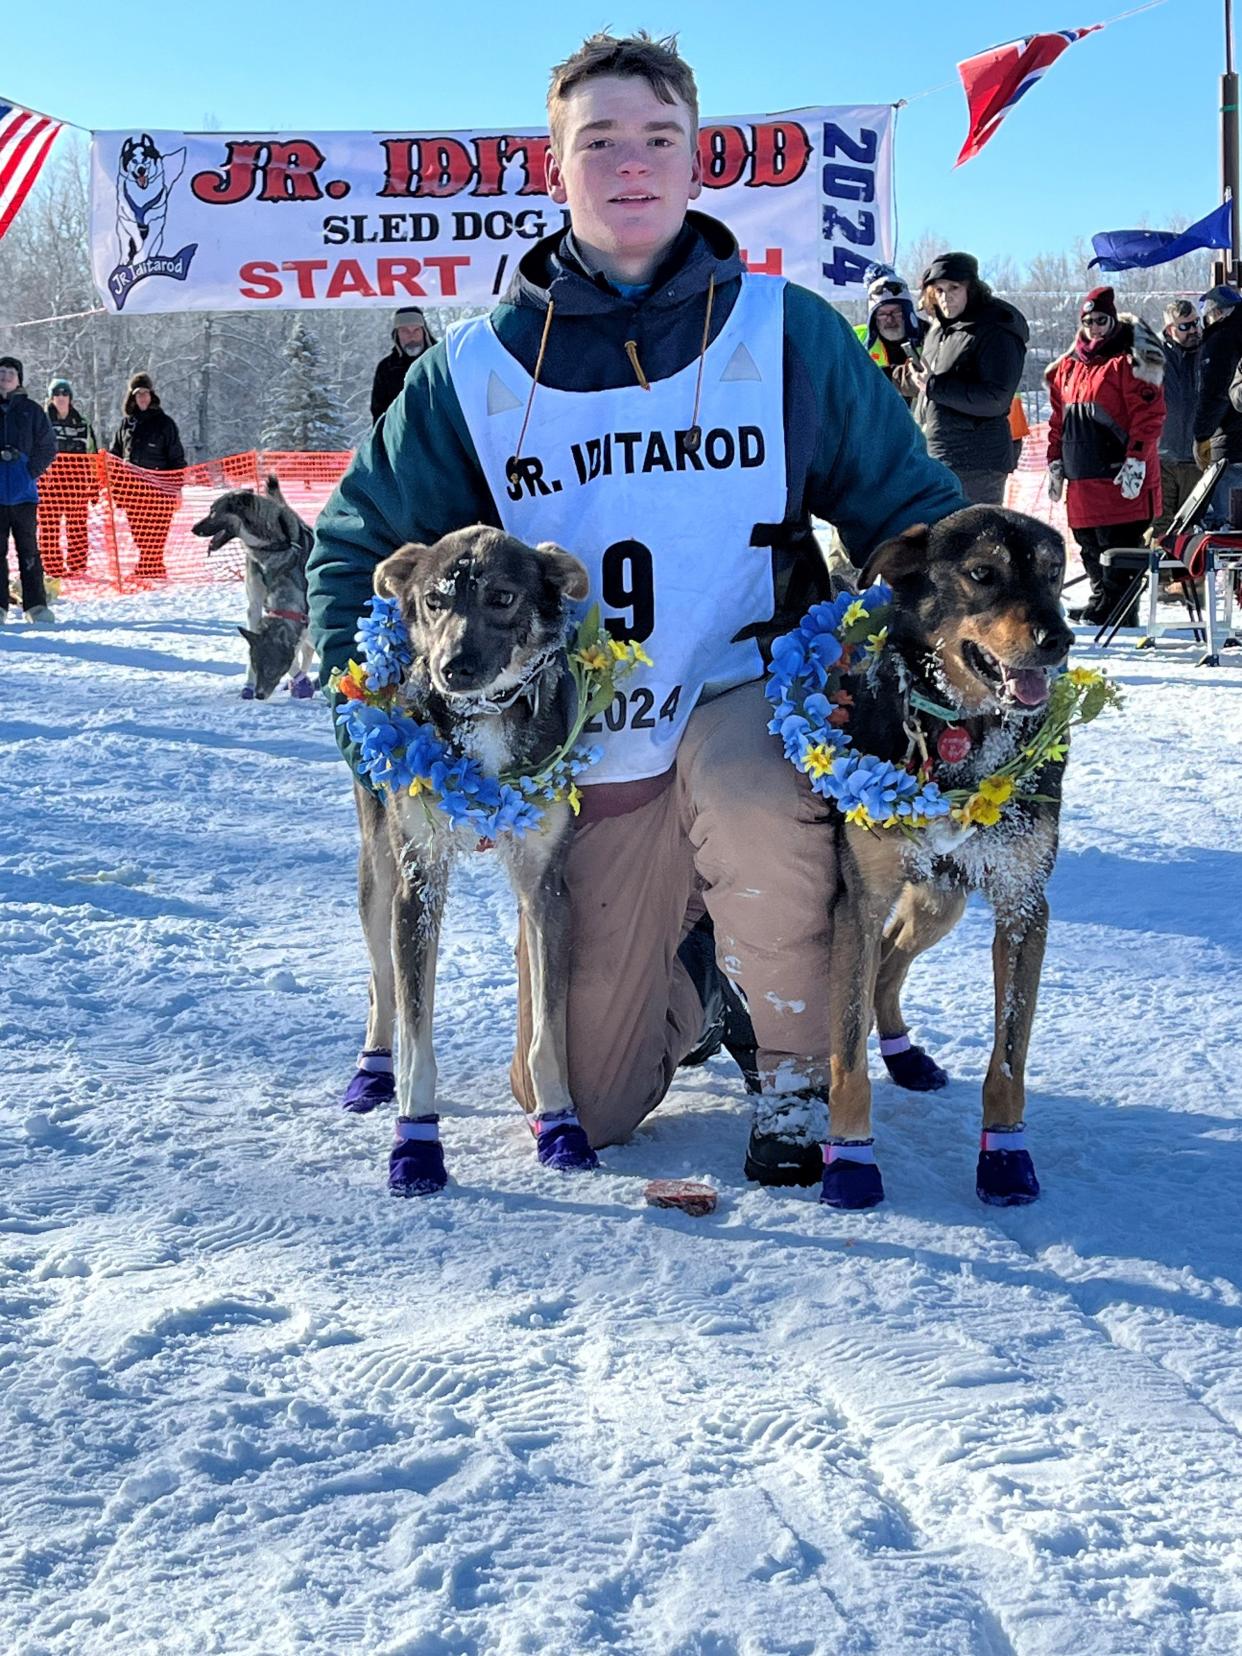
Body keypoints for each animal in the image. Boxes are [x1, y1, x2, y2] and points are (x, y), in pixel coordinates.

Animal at [115, 134, 186, 264]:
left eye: (145, 159)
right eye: (134, 160)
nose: (141, 170)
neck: (142, 193)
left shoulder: (156, 219)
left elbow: (149, 241)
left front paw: (140, 257)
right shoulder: (126, 219)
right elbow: (136, 237)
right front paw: (138, 254)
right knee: (124, 244)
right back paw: (124, 259)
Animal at [337, 523, 596, 1198]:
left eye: (502, 597)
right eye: (434, 601)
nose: (451, 667)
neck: (484, 722)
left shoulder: (547, 890)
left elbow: (547, 1038)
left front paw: (560, 1126)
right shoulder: (419, 884)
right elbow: (417, 1039)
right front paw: (416, 1144)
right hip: (378, 880)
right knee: (380, 985)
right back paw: (372, 1069)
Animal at [821, 496, 1073, 1212]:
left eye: (1053, 574)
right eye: (983, 573)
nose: (1060, 639)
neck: (964, 733)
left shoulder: (1023, 908)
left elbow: (1008, 1061)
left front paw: (1006, 1159)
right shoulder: (859, 902)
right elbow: (846, 1056)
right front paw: (850, 1159)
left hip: (942, 902)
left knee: (888, 967)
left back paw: (903, 1053)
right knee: (876, 970)